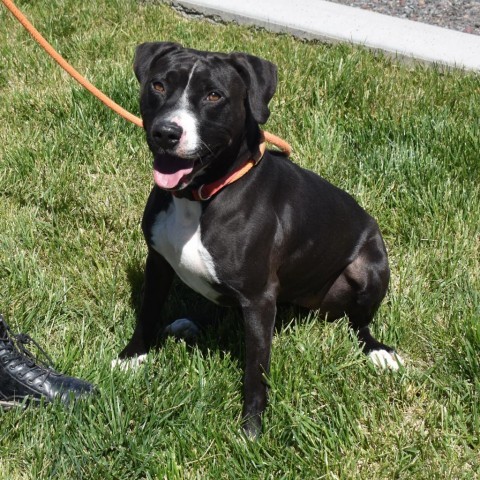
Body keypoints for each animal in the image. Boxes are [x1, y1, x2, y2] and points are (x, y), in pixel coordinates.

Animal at [118, 43, 404, 436]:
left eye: (213, 95)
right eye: (158, 85)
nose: (166, 132)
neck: (200, 196)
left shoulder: (258, 298)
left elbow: (256, 367)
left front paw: (251, 427)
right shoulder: (158, 261)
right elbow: (147, 311)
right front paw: (132, 357)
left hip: (369, 267)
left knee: (359, 322)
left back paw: (378, 351)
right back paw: (190, 323)